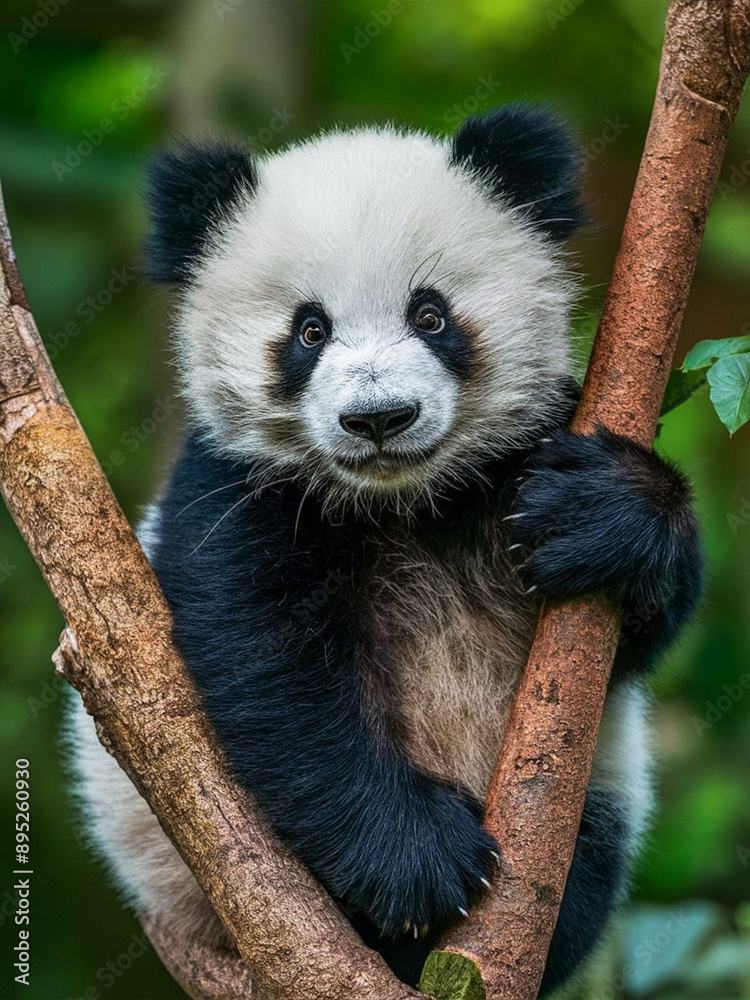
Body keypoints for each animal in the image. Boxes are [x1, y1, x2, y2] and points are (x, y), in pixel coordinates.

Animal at [69, 104, 703, 994]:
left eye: (430, 316)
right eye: (308, 331)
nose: (379, 419)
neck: (402, 499)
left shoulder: (525, 456)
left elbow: (635, 640)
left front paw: (605, 511)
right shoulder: (234, 495)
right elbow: (267, 670)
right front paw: (418, 862)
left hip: (603, 793)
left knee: (585, 881)